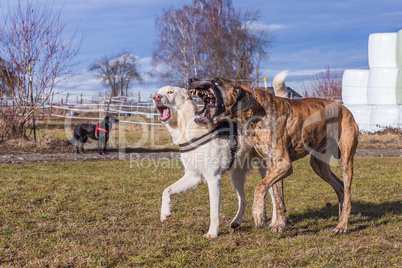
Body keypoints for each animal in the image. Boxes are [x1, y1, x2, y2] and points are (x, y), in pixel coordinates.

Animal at [152, 72, 288, 238]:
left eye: (170, 92)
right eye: (159, 91)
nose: (156, 97)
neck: (187, 128)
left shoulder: (213, 179)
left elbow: (214, 212)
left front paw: (212, 233)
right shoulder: (193, 176)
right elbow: (167, 190)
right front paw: (165, 212)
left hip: (268, 173)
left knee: (275, 199)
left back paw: (274, 222)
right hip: (236, 175)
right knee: (243, 200)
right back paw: (237, 221)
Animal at [188, 76, 358, 234]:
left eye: (216, 81)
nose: (191, 79)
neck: (252, 108)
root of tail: (344, 108)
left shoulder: (283, 165)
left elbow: (260, 186)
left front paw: (258, 214)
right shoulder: (273, 166)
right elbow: (278, 198)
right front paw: (279, 224)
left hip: (346, 161)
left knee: (348, 191)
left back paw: (342, 225)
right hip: (318, 165)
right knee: (340, 186)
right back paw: (341, 217)